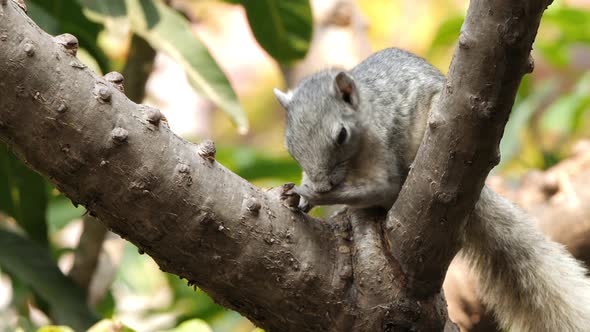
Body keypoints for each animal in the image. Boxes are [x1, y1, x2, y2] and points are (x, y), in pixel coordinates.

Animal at [276, 47, 590, 332]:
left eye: (341, 135)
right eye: (290, 146)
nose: (321, 183)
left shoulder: (380, 146)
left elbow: (382, 185)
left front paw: (310, 193)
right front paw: (300, 197)